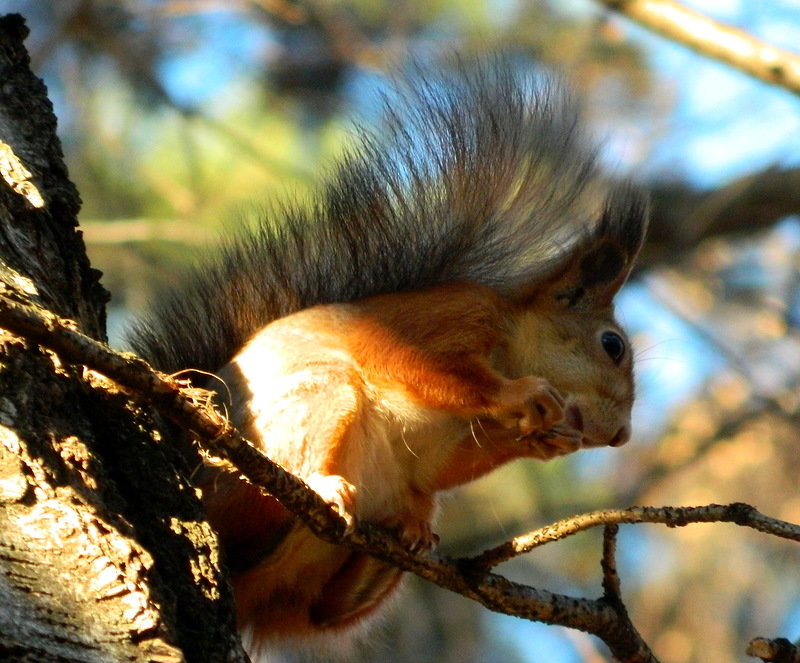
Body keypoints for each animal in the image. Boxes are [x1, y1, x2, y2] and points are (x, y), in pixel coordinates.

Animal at [126, 59, 648, 660]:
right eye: (612, 345)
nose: (621, 436)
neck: (512, 345)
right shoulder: (446, 320)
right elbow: (420, 366)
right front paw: (520, 397)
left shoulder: (450, 443)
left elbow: (443, 466)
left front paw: (542, 440)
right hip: (302, 415)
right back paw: (323, 486)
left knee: (324, 608)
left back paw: (395, 546)